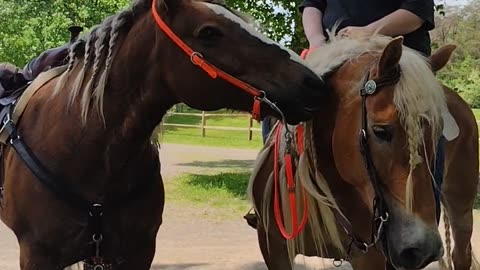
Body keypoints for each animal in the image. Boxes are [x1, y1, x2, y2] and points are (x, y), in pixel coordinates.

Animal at [249, 35, 478, 270]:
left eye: (438, 132)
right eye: (380, 131)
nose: (424, 248)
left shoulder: (370, 257)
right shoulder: (274, 249)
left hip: (460, 205)